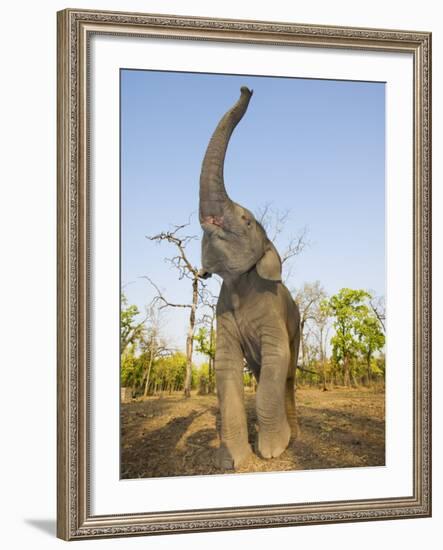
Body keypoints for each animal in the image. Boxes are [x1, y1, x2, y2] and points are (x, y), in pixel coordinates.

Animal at [200, 86, 302, 470]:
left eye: (245, 220)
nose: (247, 89)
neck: (240, 283)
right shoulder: (223, 315)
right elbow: (225, 366)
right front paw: (230, 462)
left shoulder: (272, 311)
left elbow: (278, 359)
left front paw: (272, 451)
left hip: (299, 326)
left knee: (287, 375)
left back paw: (294, 436)